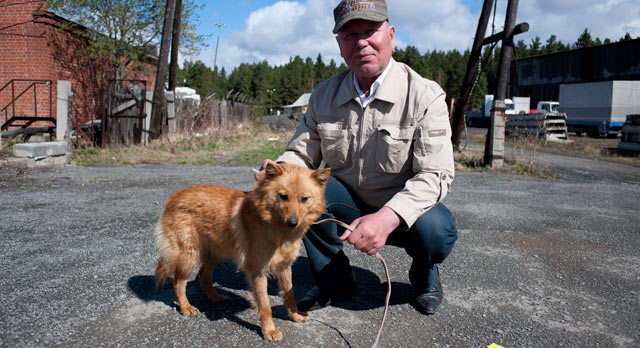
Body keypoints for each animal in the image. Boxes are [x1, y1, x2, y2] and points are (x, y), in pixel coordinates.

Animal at [154, 162, 330, 340]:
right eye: (283, 196)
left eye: (304, 199)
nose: (292, 223)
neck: (273, 225)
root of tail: (174, 196)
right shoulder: (257, 272)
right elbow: (265, 306)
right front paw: (269, 330)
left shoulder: (284, 267)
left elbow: (290, 295)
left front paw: (295, 315)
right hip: (189, 256)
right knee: (178, 282)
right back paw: (186, 307)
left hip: (216, 252)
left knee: (203, 274)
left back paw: (215, 296)